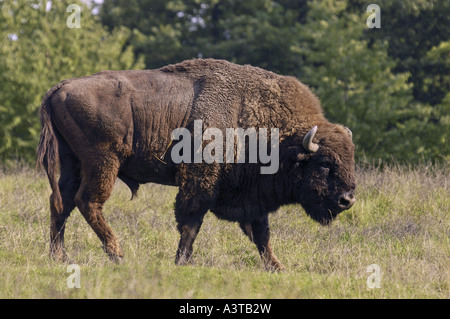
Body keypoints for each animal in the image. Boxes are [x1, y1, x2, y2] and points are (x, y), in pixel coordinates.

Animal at [37, 58, 356, 272]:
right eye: (324, 163)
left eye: (350, 158)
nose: (348, 199)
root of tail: (60, 87)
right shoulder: (199, 181)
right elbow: (191, 221)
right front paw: (182, 261)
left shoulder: (252, 199)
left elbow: (261, 234)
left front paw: (277, 267)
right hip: (104, 162)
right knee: (87, 201)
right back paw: (117, 253)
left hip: (73, 162)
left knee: (60, 202)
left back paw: (59, 257)